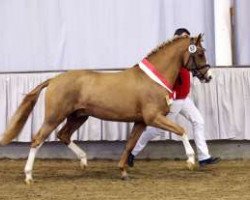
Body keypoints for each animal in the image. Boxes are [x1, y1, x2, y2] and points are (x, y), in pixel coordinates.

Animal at [0, 34, 211, 183]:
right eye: (200, 53)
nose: (208, 77)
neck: (153, 79)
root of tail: (53, 80)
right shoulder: (153, 117)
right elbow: (182, 130)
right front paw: (191, 161)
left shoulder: (141, 121)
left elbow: (130, 144)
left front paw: (123, 171)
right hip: (55, 116)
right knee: (37, 140)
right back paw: (29, 176)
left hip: (78, 116)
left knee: (63, 135)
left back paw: (84, 161)